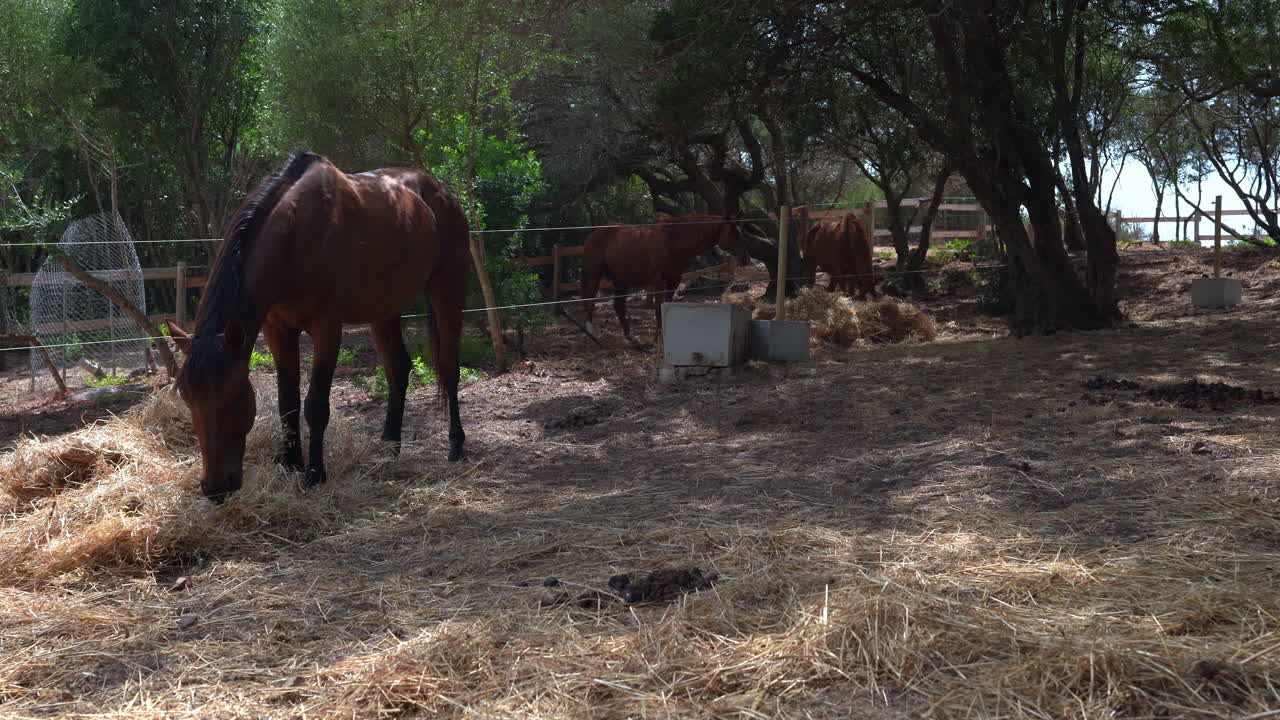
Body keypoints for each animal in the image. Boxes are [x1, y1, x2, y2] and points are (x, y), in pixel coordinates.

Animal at [167, 151, 470, 502]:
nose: (215, 489)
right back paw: (389, 447)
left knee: (448, 368)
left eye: (234, 395)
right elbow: (287, 402)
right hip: (384, 310)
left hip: (448, 290)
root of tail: (442, 192)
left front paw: (314, 473)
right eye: (187, 397)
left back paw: (456, 445)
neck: (295, 237)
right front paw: (289, 464)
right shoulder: (278, 330)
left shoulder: (327, 329)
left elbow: (315, 405)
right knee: (398, 368)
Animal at [579, 214, 751, 345]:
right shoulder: (659, 281)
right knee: (589, 299)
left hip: (620, 279)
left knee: (618, 305)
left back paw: (632, 338)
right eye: (733, 234)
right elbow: (658, 308)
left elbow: (667, 306)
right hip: (594, 272)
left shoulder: (674, 281)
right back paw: (592, 334)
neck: (672, 240)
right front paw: (658, 339)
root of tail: (595, 233)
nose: (746, 258)